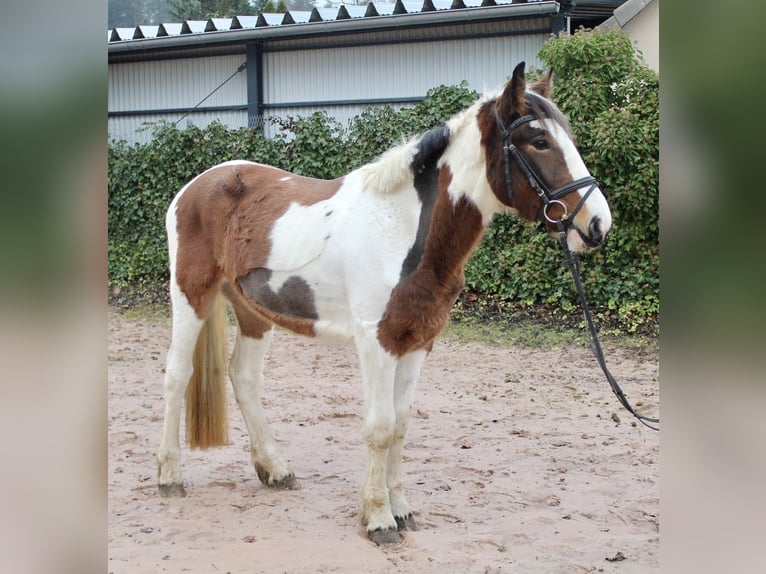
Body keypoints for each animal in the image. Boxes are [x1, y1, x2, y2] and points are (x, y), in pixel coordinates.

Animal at [156, 60, 612, 548]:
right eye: (539, 141)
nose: (597, 224)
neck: (402, 227)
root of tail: (194, 187)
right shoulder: (377, 341)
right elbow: (379, 427)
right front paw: (377, 518)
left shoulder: (417, 342)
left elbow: (401, 425)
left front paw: (401, 510)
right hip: (191, 294)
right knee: (177, 375)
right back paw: (169, 477)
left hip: (252, 310)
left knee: (243, 377)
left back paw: (274, 470)